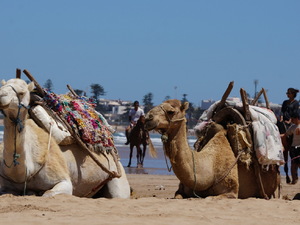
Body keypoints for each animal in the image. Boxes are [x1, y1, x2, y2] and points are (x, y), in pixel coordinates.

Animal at [145, 99, 278, 199]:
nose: (147, 118)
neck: (210, 165)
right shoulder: (181, 191)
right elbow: (178, 196)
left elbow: (209, 197)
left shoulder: (232, 192)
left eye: (171, 111)